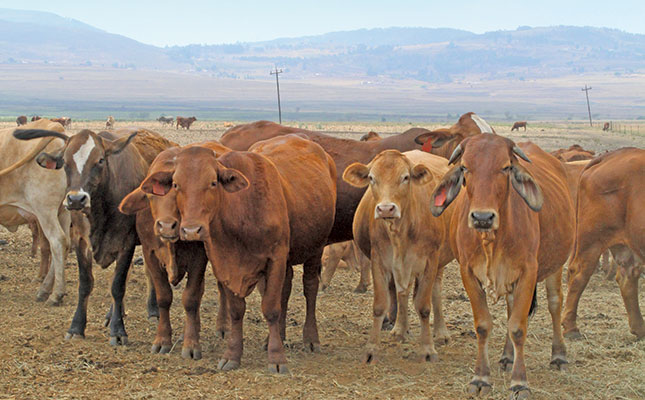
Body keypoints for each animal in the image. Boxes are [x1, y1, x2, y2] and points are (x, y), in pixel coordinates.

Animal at [150, 134, 338, 372]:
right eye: (176, 185)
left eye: (213, 183)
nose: (191, 230)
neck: (242, 212)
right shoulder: (225, 264)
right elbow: (237, 310)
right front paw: (232, 355)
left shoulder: (276, 258)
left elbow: (271, 308)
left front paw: (277, 358)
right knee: (285, 290)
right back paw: (276, 337)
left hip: (316, 248)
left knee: (310, 288)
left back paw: (311, 339)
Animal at [342, 149, 452, 362]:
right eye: (371, 178)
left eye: (405, 177)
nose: (386, 209)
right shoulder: (379, 261)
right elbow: (380, 305)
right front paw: (371, 350)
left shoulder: (430, 261)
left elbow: (424, 306)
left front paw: (427, 349)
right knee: (403, 292)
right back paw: (400, 329)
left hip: (440, 262)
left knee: (435, 290)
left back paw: (441, 332)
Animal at [430, 134, 572, 396]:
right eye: (465, 167)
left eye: (506, 167)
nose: (482, 217)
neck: (492, 239)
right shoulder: (468, 273)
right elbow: (484, 325)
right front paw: (480, 378)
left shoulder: (528, 272)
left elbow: (518, 326)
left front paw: (519, 382)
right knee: (511, 307)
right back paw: (507, 357)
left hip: (556, 265)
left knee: (555, 304)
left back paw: (559, 356)